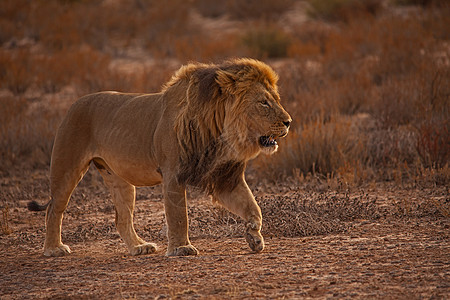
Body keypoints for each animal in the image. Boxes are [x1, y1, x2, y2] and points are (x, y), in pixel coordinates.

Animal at [29, 58, 294, 255]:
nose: (289, 122)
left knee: (121, 219)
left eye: (276, 100)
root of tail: (74, 103)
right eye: (263, 103)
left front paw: (254, 236)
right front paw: (181, 249)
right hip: (67, 167)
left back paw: (139, 247)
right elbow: (178, 215)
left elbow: (253, 206)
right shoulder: (173, 175)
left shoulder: (225, 179)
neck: (221, 133)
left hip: (119, 178)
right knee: (54, 208)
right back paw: (54, 249)